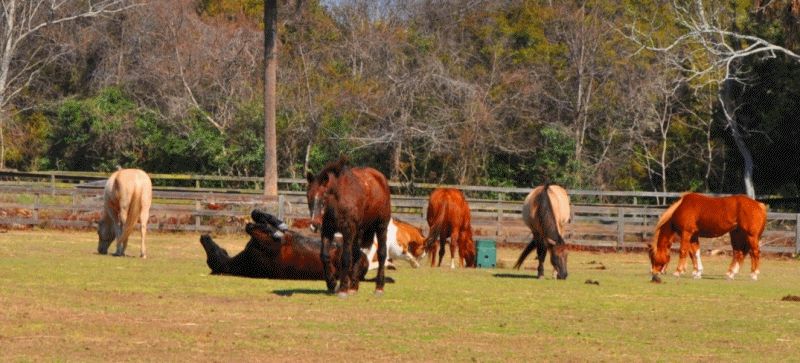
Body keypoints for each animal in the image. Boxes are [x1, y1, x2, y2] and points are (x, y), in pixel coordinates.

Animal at [304, 158, 392, 298]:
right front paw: (332, 283)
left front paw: (343, 289)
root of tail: (380, 179)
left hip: (381, 227)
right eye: (308, 197)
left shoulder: (348, 231)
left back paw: (379, 287)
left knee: (382, 254)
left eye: (324, 196)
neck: (337, 202)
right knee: (357, 254)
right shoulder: (328, 231)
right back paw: (354, 286)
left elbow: (345, 257)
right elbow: (324, 256)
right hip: (359, 232)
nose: (315, 224)